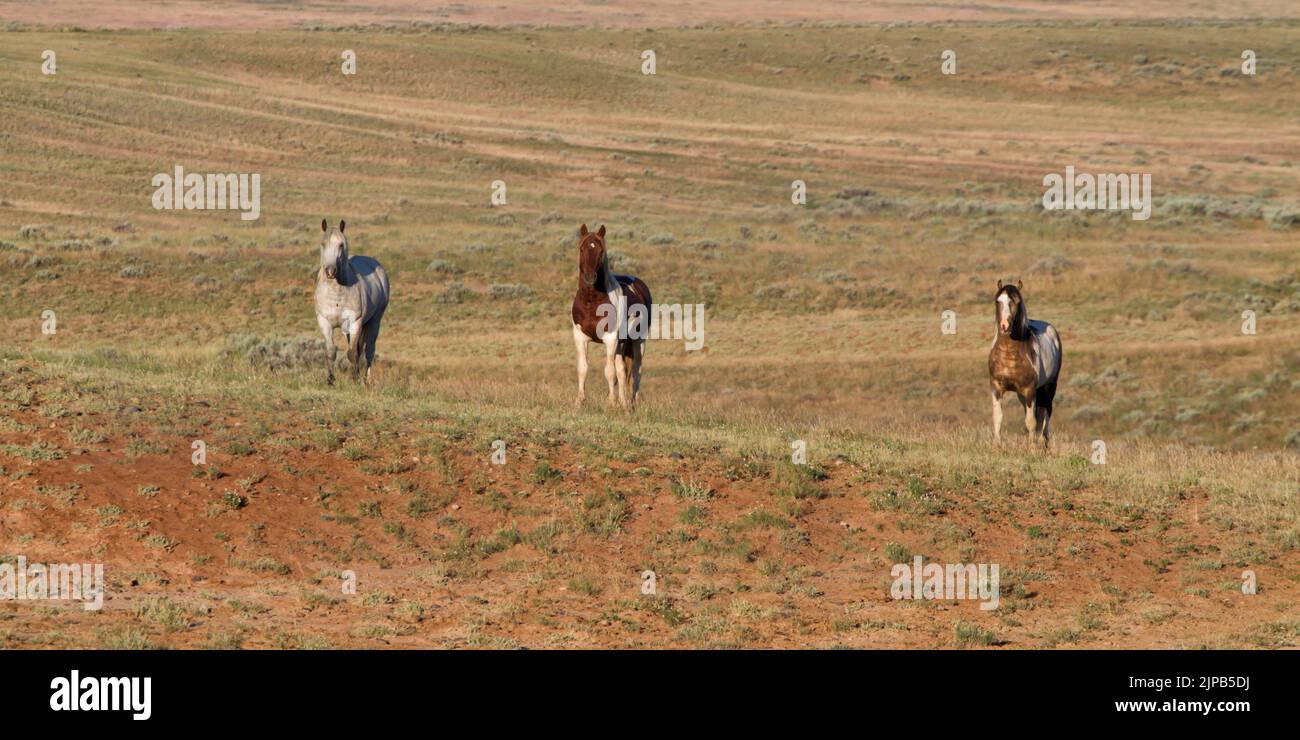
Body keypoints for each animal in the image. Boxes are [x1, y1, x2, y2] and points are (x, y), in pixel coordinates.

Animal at [569, 224, 650, 410]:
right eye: (582, 249)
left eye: (601, 251)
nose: (590, 277)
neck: (592, 302)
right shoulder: (580, 337)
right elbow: (583, 368)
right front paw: (579, 401)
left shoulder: (610, 338)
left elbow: (609, 371)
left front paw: (611, 402)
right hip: (622, 344)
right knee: (622, 370)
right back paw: (624, 402)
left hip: (639, 340)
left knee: (636, 370)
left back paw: (632, 402)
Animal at [987, 279, 1060, 447]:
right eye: (998, 301)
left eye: (1016, 301)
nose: (1004, 326)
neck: (1009, 354)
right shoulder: (996, 387)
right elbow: (998, 417)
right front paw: (996, 446)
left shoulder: (1029, 390)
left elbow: (1031, 422)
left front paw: (1031, 448)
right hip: (1022, 395)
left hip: (1049, 387)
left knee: (1046, 413)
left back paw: (1043, 442)